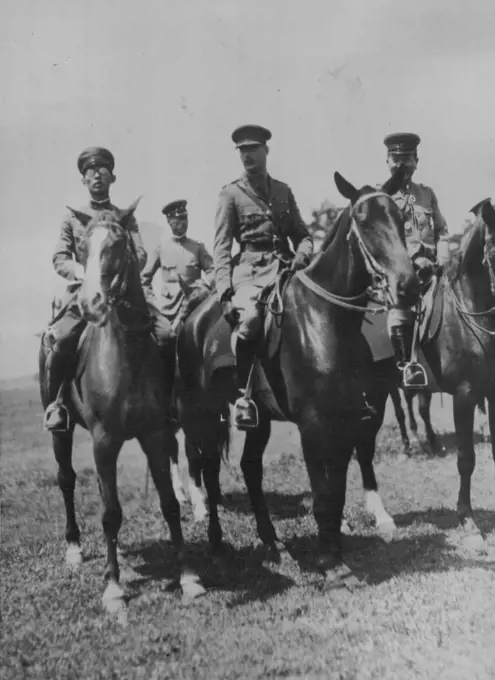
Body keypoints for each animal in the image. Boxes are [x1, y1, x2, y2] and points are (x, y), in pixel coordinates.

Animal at [37, 201, 205, 612]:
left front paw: (188, 576)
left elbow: (169, 504)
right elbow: (111, 514)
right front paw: (113, 587)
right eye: (81, 249)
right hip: (62, 431)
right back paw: (75, 547)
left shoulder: (155, 435)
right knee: (67, 481)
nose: (90, 303)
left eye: (116, 245)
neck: (125, 357)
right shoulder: (104, 441)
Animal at [176, 171, 420, 584]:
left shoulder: (345, 418)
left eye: (400, 219)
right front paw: (332, 565)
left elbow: (336, 490)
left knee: (250, 468)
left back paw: (273, 544)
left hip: (257, 420)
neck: (324, 318)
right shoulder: (313, 424)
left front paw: (335, 550)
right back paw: (217, 546)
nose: (408, 284)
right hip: (205, 414)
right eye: (365, 221)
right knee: (207, 470)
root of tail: (192, 318)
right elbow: (321, 491)